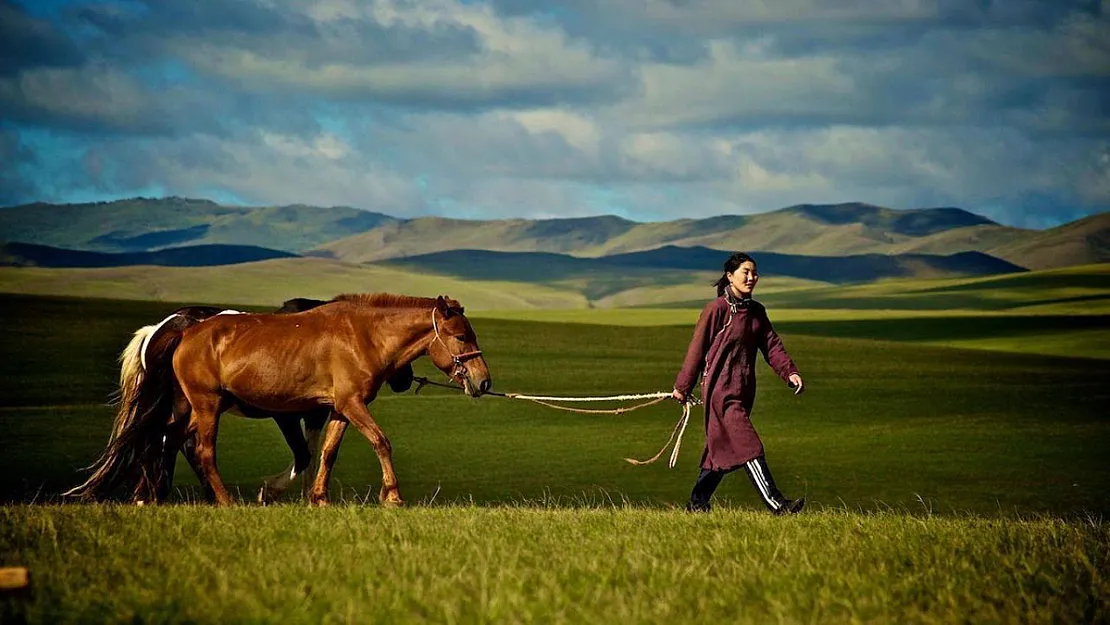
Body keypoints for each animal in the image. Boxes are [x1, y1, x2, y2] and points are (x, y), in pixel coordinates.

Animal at [66, 295, 490, 508]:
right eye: (461, 337)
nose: (484, 381)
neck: (363, 335)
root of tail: (183, 332)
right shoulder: (345, 405)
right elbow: (379, 442)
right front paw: (394, 497)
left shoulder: (339, 408)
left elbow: (327, 453)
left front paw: (318, 499)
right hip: (206, 405)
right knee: (200, 449)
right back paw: (223, 501)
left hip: (189, 407)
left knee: (165, 438)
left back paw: (151, 496)